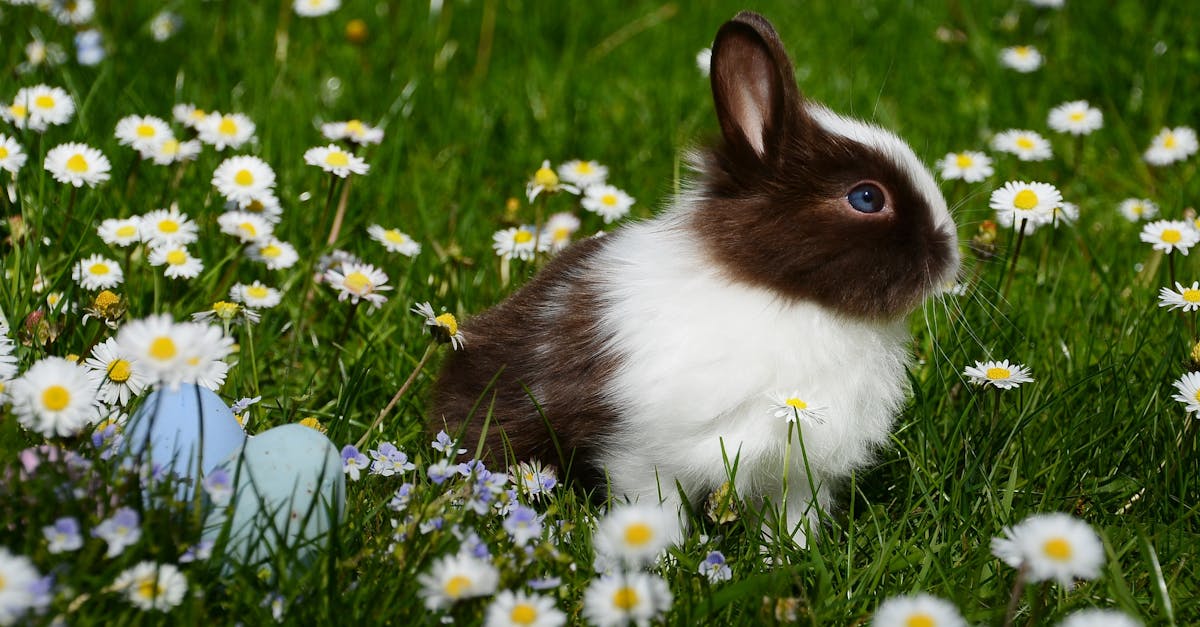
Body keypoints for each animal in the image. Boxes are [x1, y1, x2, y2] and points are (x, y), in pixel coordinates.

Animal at [430, 11, 960, 546]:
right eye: (867, 198)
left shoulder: (796, 472)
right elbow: (653, 512)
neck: (784, 296)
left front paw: (786, 556)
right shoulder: (645, 455)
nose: (951, 254)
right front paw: (660, 558)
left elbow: (791, 521)